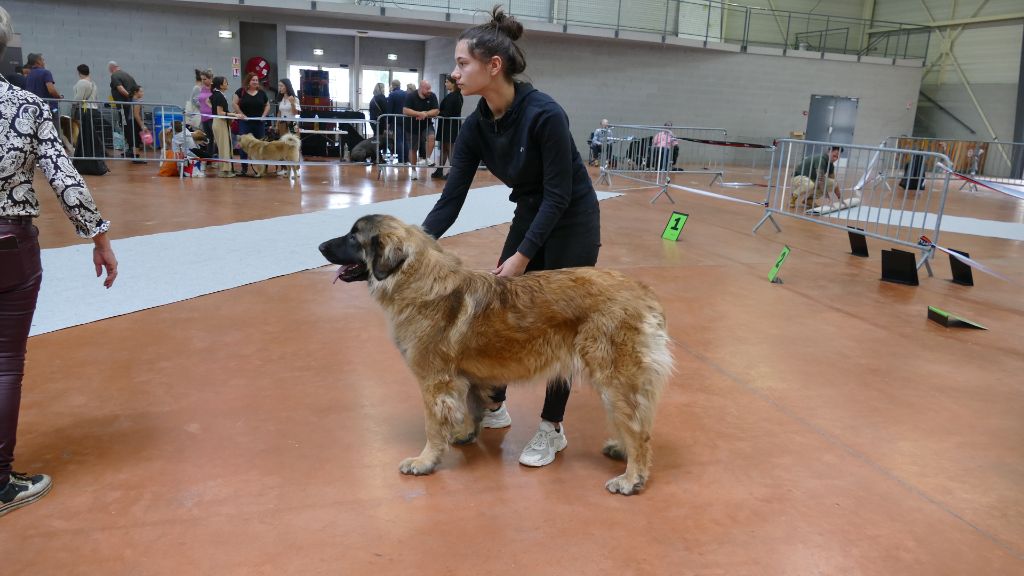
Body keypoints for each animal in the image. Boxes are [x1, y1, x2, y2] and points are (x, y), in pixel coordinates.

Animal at [319, 215, 673, 495]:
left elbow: (433, 425)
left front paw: (424, 461)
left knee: (640, 432)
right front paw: (465, 433)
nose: (320, 246)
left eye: (353, 237)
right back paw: (621, 451)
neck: (415, 278)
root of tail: (645, 294)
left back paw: (631, 479)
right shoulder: (466, 377)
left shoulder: (434, 382)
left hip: (615, 380)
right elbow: (471, 405)